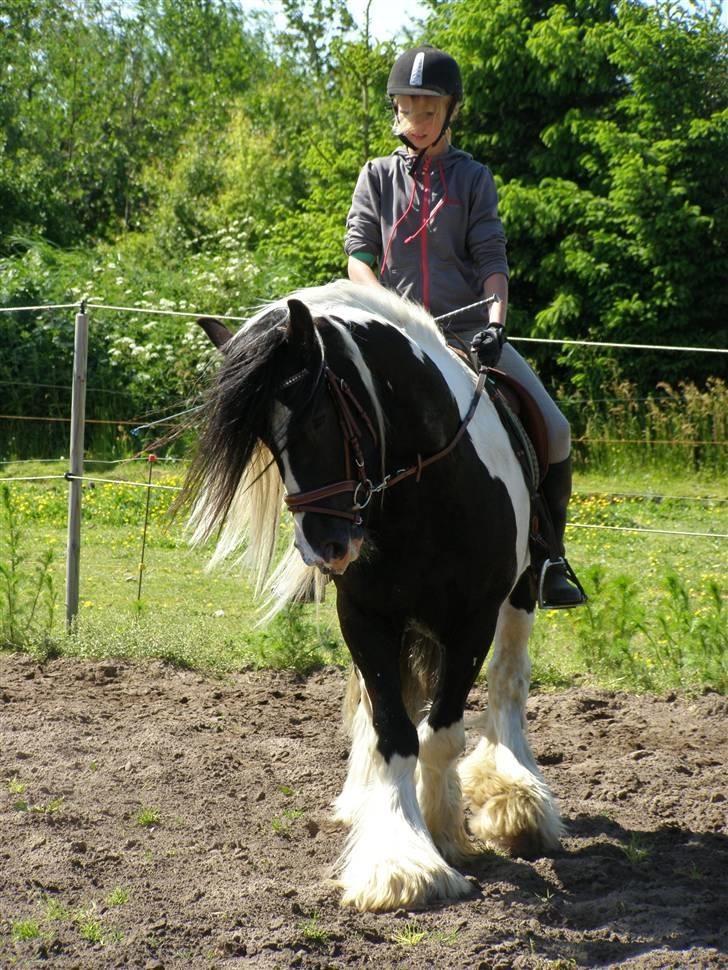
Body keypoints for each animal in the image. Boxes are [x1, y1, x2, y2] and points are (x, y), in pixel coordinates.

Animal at [182, 278, 564, 908]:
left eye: (315, 417)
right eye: (264, 437)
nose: (325, 545)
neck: (425, 487)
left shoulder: (472, 619)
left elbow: (442, 733)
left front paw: (442, 832)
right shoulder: (365, 616)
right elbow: (395, 731)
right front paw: (401, 857)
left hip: (523, 594)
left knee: (509, 680)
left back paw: (515, 796)